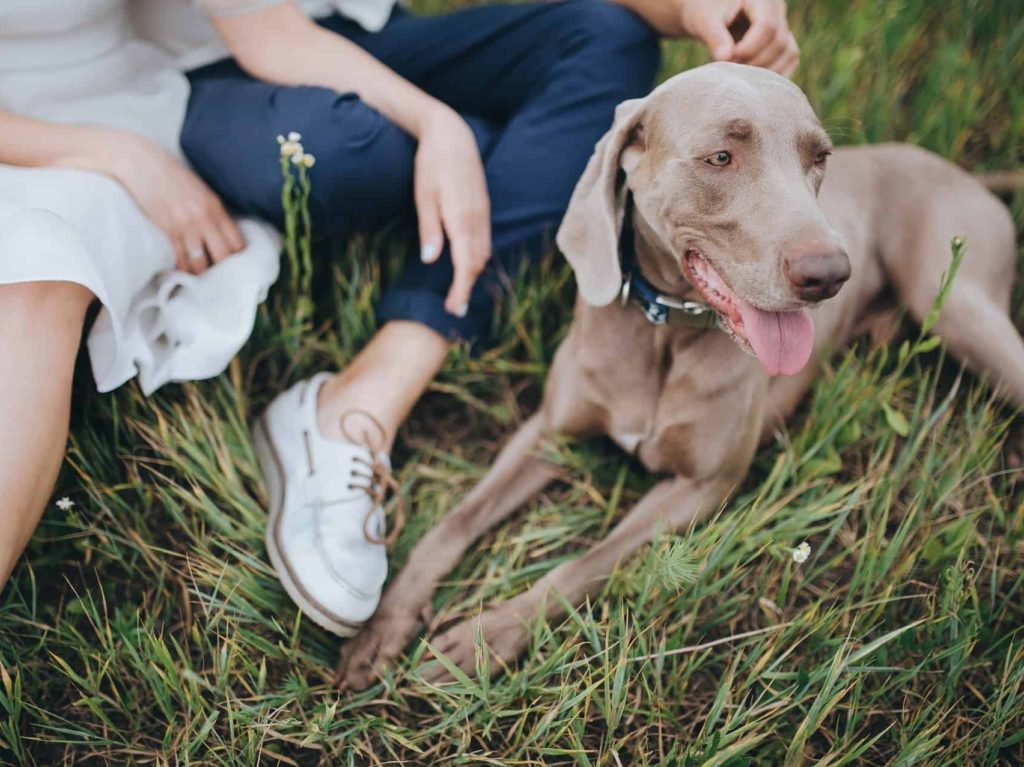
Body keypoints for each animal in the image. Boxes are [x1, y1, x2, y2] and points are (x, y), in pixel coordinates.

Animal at [335, 62, 1015, 684]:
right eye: (720, 157)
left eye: (819, 158)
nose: (829, 274)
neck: (665, 329)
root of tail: (965, 174)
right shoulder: (547, 431)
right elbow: (453, 522)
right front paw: (384, 621)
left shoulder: (701, 486)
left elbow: (586, 562)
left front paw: (483, 637)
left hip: (959, 306)